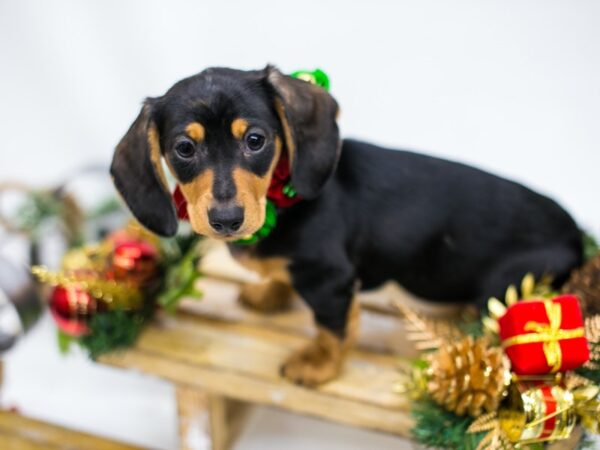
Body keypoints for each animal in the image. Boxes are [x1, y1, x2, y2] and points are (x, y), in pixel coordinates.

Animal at [110, 66, 584, 386]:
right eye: (184, 148)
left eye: (256, 140)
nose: (227, 220)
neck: (280, 203)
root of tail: (576, 235)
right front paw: (270, 292)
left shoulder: (330, 281)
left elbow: (330, 329)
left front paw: (317, 365)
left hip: (506, 285)